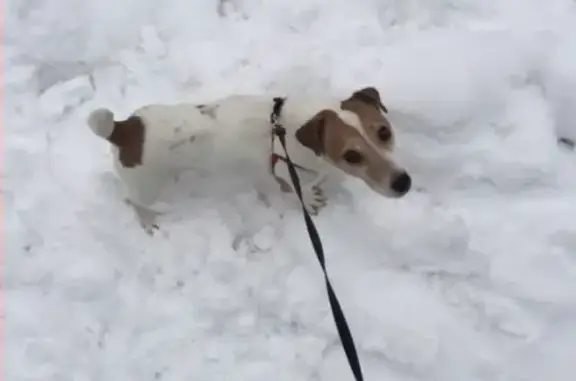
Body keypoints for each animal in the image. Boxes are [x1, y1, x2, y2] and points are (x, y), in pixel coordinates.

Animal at [85, 86, 412, 233]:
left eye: (384, 132)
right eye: (352, 155)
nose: (404, 183)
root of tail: (124, 129)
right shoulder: (283, 176)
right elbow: (299, 192)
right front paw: (310, 198)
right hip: (147, 186)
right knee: (133, 201)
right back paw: (148, 220)